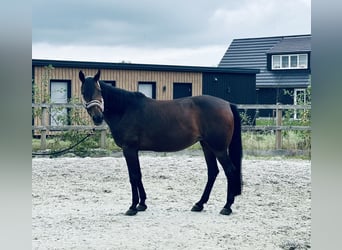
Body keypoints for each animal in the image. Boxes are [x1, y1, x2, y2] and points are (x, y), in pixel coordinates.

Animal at [79, 70, 242, 215]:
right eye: (83, 92)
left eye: (99, 91)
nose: (98, 117)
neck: (125, 109)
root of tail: (227, 104)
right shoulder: (134, 150)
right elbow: (138, 174)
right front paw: (142, 204)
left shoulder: (129, 149)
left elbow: (133, 176)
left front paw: (132, 207)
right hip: (207, 146)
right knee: (213, 172)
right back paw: (199, 204)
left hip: (219, 149)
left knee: (230, 170)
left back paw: (227, 207)